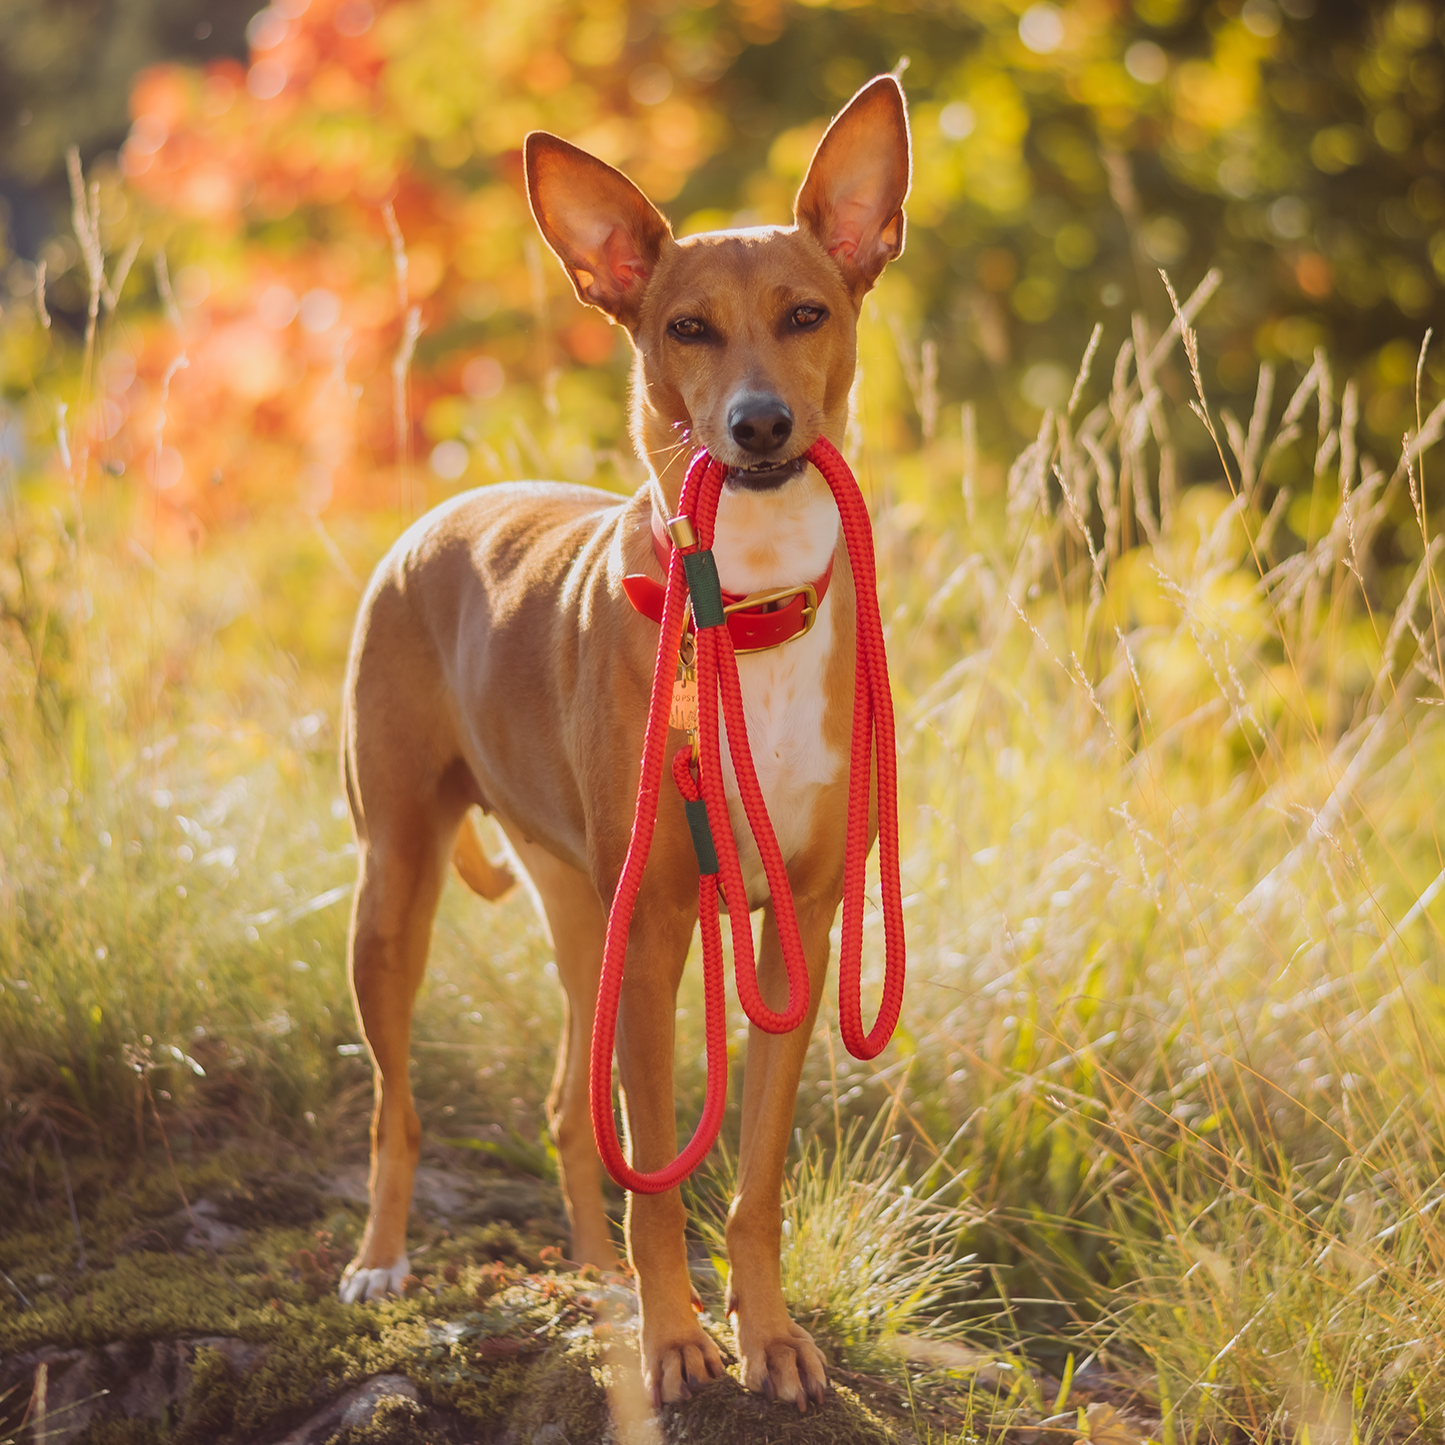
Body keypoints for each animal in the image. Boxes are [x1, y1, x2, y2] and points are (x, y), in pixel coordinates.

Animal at [336, 79, 901, 1410]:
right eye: (685, 327)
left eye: (805, 313)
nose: (758, 423)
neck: (741, 607)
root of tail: (442, 510)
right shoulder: (656, 926)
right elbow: (661, 1164)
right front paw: (676, 1338)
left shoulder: (794, 927)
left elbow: (749, 1181)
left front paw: (768, 1335)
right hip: (400, 888)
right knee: (396, 1105)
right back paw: (384, 1260)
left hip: (576, 909)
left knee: (561, 1107)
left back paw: (591, 1277)